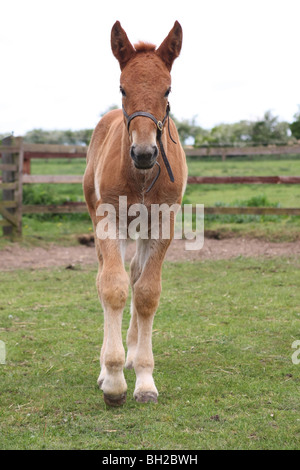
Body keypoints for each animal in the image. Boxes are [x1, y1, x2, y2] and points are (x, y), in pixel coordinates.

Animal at [84, 21, 188, 404]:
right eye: (122, 87)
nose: (144, 153)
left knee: (135, 273)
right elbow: (112, 287)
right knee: (105, 276)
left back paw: (130, 354)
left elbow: (146, 292)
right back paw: (107, 367)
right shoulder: (109, 220)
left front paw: (144, 378)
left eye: (168, 88)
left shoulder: (163, 224)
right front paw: (113, 379)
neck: (141, 176)